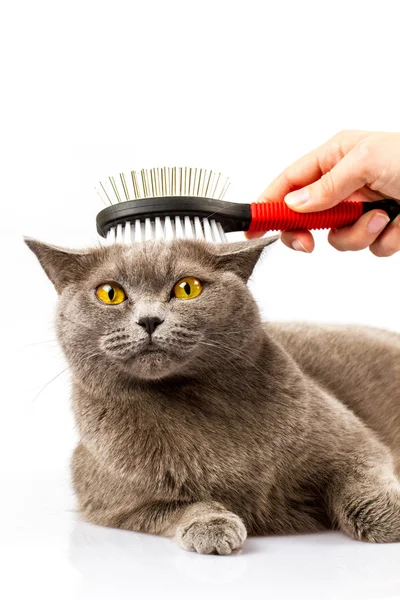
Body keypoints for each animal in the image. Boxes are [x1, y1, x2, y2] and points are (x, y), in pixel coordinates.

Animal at [25, 237, 400, 556]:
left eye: (187, 288)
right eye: (109, 293)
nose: (149, 319)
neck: (188, 400)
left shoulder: (352, 441)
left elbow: (362, 481)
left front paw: (392, 517)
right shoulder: (112, 500)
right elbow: (182, 506)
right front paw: (211, 528)